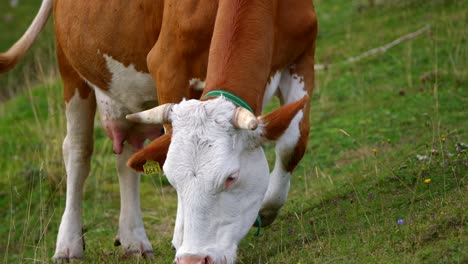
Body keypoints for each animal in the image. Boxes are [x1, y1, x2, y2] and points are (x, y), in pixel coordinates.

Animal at [0, 0, 318, 264]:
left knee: (128, 154)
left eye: (231, 178)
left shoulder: (303, 53)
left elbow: (292, 145)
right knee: (78, 152)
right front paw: (180, 237)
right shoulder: (168, 66)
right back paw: (68, 245)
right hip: (71, 70)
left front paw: (266, 209)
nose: (194, 259)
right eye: (172, 181)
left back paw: (134, 239)